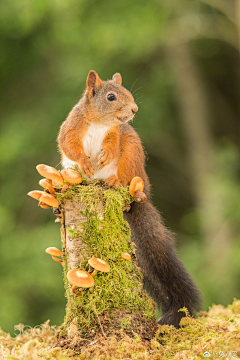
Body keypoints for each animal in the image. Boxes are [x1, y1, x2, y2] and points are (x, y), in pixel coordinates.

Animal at [57, 70, 202, 326]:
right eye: (111, 96)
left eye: (129, 93)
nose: (134, 109)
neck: (101, 123)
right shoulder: (72, 127)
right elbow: (69, 145)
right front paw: (85, 161)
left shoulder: (115, 134)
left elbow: (112, 145)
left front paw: (104, 155)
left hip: (132, 156)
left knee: (125, 174)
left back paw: (115, 181)